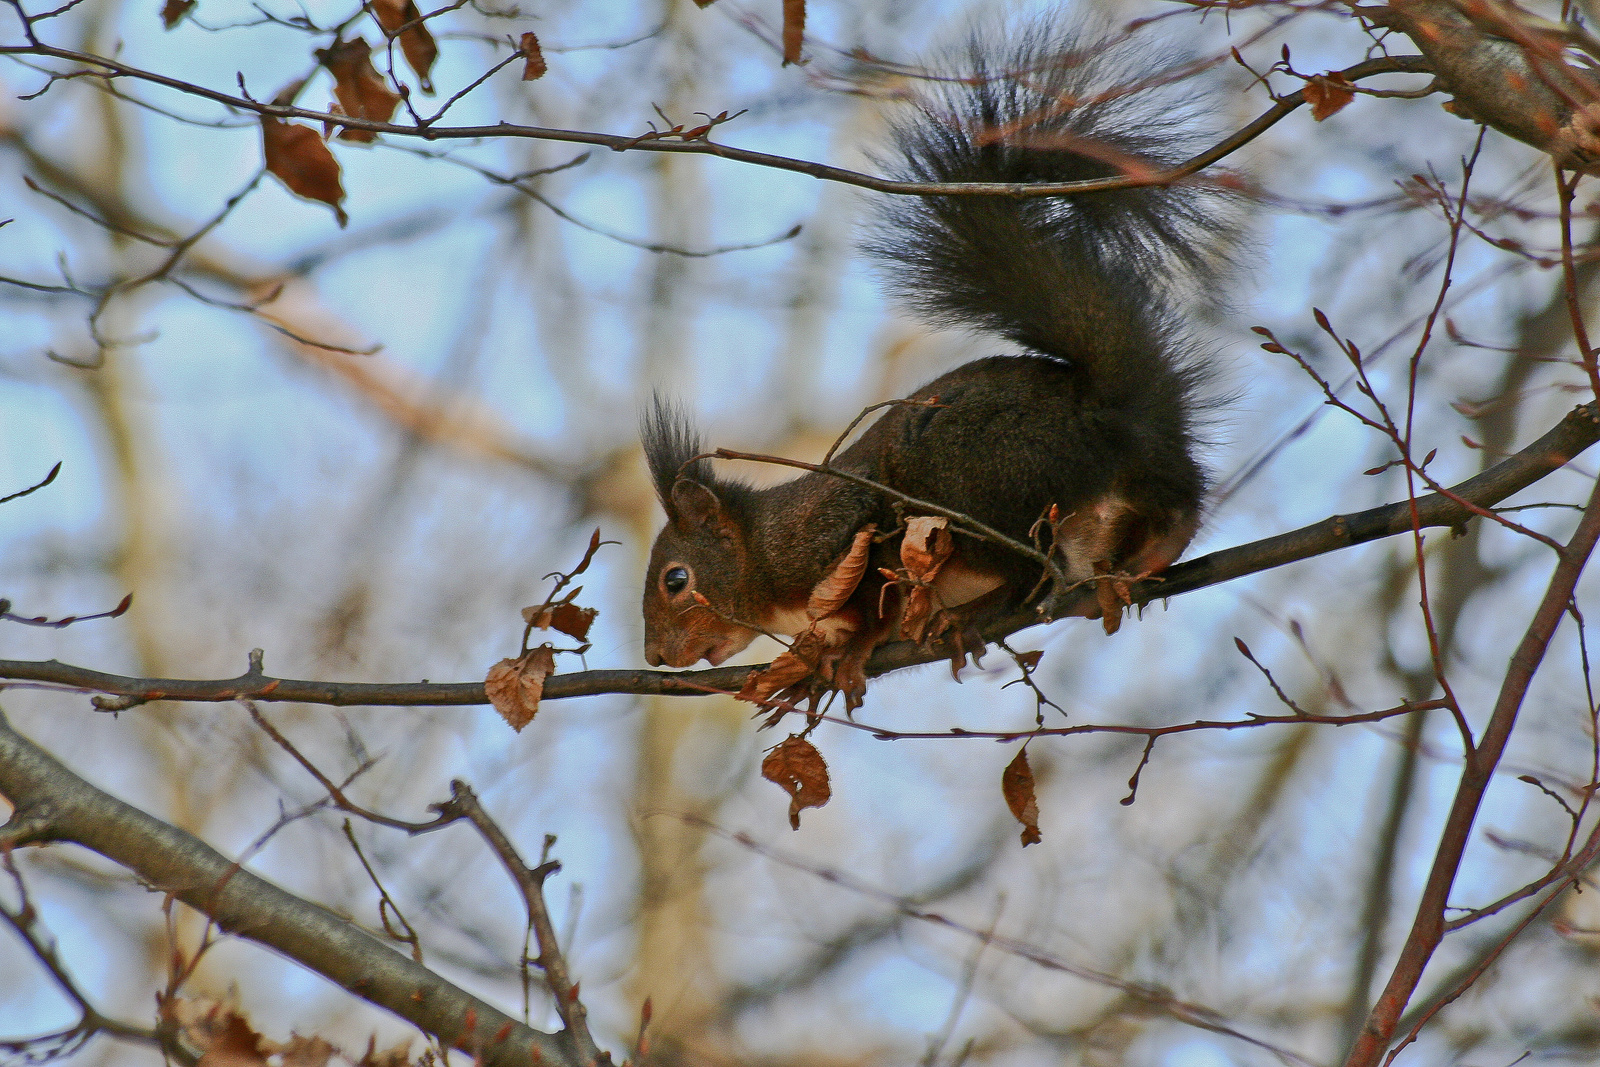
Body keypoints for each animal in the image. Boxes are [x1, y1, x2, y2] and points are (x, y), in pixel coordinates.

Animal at [633, 22, 1222, 710]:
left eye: (676, 579)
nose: (655, 656)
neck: (766, 552)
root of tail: (1114, 415)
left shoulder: (847, 531)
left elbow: (873, 604)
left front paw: (851, 651)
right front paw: (808, 668)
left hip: (976, 485)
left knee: (1027, 570)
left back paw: (969, 616)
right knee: (1172, 510)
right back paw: (1153, 553)